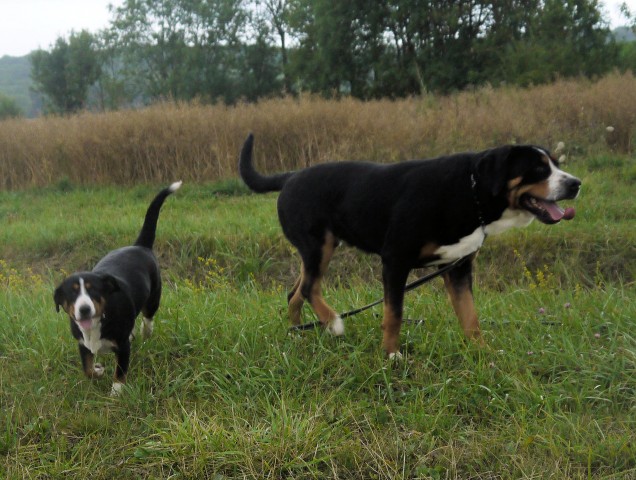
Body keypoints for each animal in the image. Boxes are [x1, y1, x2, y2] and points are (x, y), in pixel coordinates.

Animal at [54, 182, 181, 396]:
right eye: (72, 293)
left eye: (94, 291)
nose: (84, 309)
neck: (98, 322)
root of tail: (139, 246)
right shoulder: (83, 345)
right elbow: (87, 369)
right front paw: (98, 370)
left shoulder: (122, 346)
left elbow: (120, 371)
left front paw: (116, 393)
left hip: (153, 299)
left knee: (148, 319)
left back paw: (145, 332)